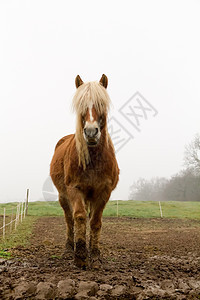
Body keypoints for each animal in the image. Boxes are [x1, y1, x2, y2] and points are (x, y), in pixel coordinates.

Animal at [49, 74, 119, 268]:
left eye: (101, 104)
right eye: (81, 106)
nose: (90, 132)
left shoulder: (103, 192)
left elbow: (95, 222)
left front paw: (94, 255)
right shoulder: (74, 189)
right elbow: (79, 217)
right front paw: (79, 256)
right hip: (63, 196)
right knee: (69, 219)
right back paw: (68, 249)